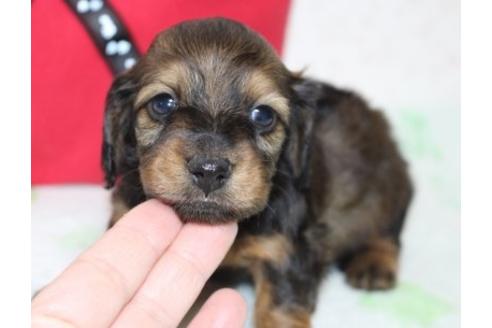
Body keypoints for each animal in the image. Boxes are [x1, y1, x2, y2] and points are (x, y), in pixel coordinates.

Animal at [102, 18, 414, 328]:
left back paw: (374, 262)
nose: (209, 170)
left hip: (388, 184)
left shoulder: (284, 251)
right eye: (162, 103)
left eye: (263, 115)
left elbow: (280, 310)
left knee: (388, 229)